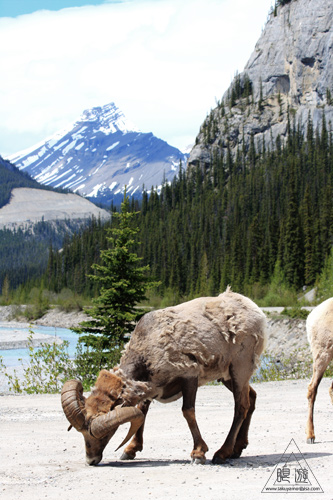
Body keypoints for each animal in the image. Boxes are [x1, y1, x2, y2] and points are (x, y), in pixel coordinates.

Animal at [61, 288, 266, 466]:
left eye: (105, 434)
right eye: (82, 433)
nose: (91, 460)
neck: (149, 344)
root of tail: (256, 311)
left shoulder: (189, 377)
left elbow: (188, 412)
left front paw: (198, 454)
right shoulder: (151, 387)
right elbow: (143, 412)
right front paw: (130, 451)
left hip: (239, 369)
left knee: (241, 406)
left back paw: (222, 454)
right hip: (226, 377)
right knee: (252, 398)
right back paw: (237, 449)